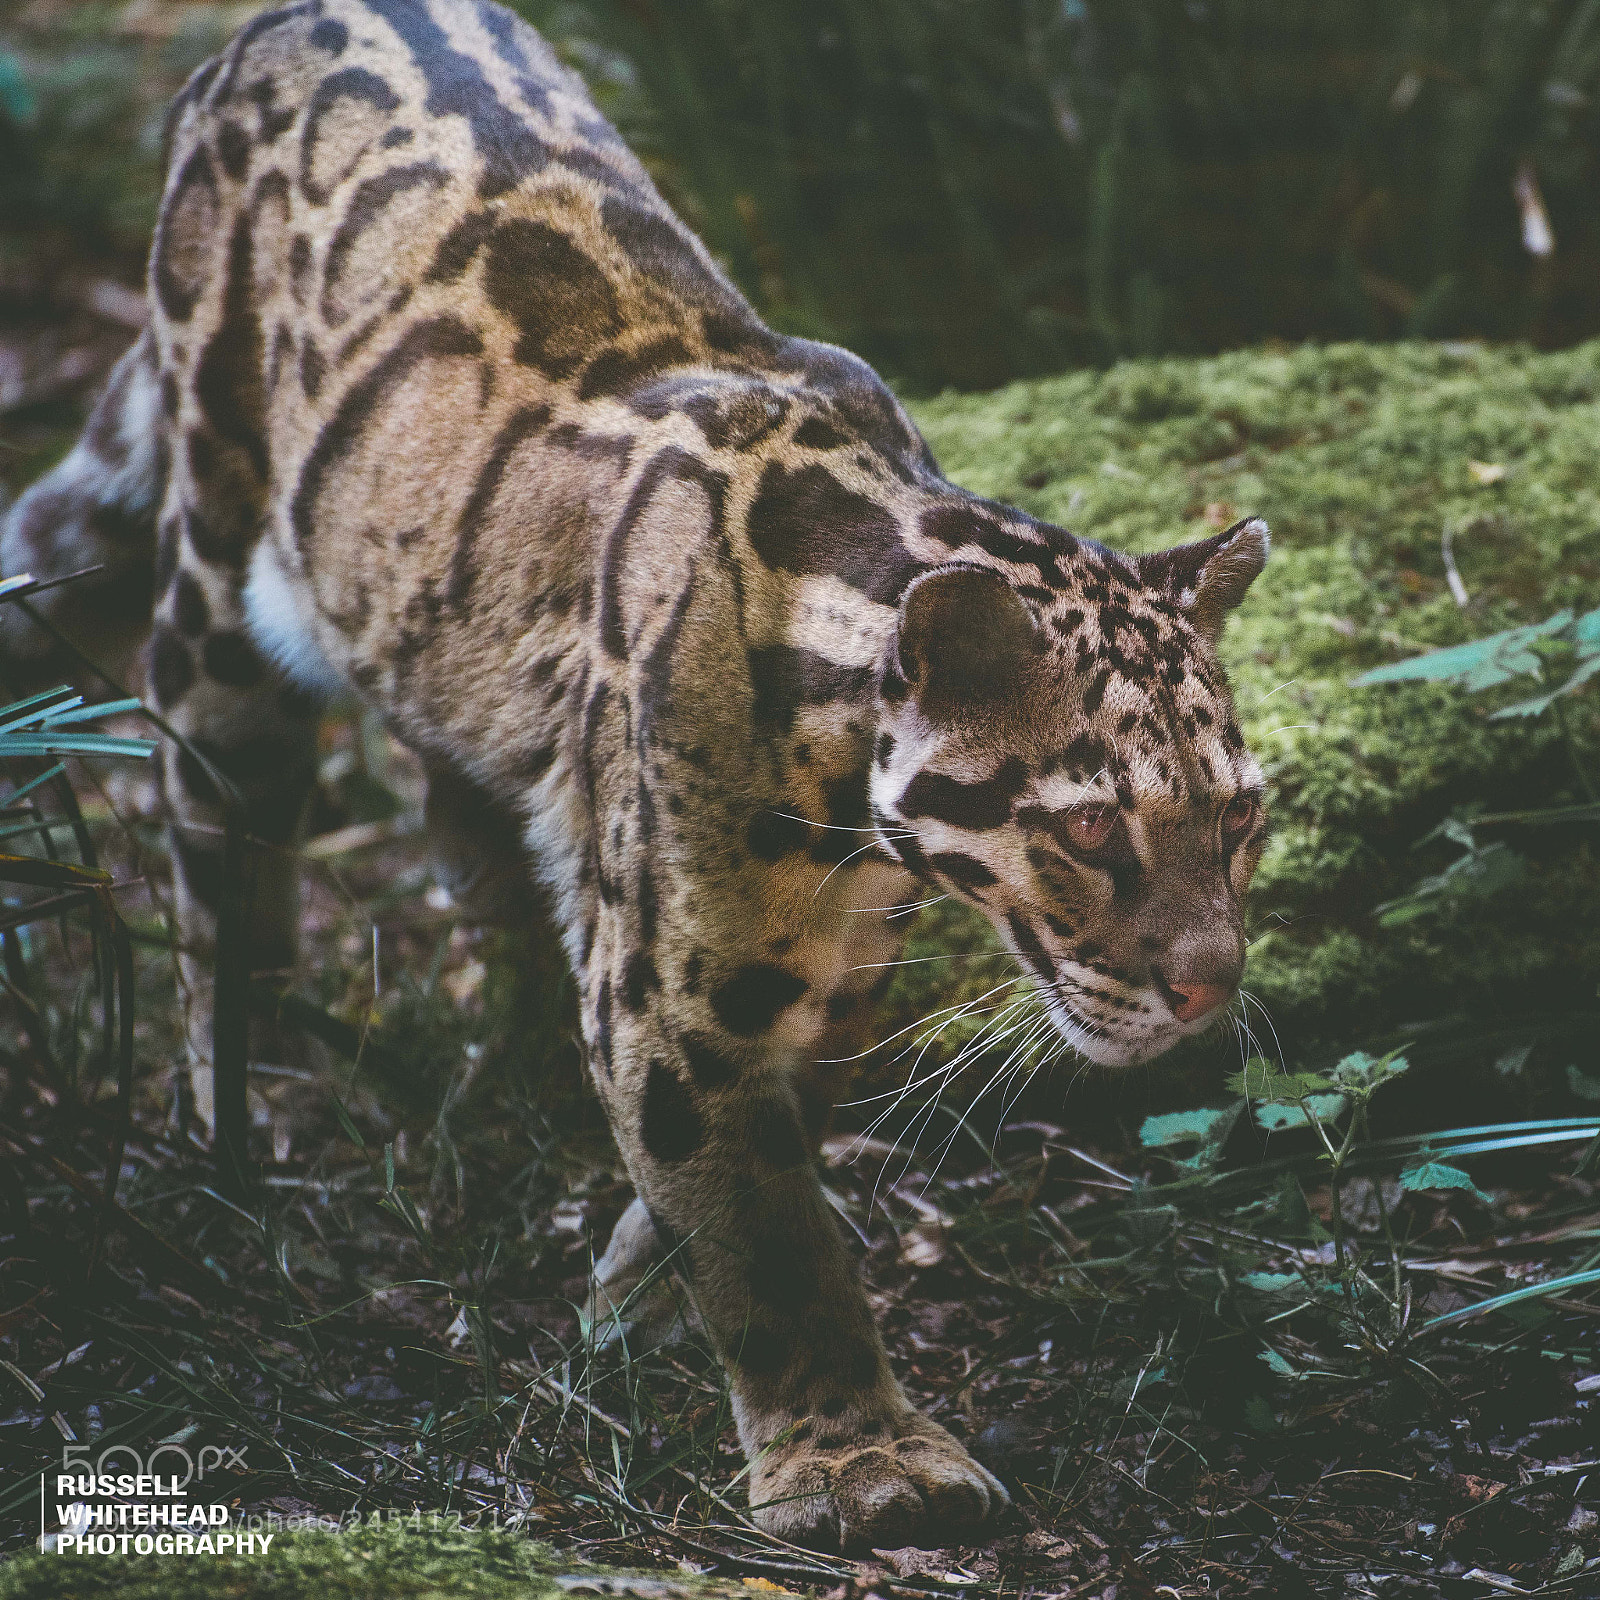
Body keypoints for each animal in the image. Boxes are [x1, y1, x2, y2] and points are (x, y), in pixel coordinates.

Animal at [0, 0, 1270, 1553]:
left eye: (1241, 813)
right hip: (221, 592)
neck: (846, 822)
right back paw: (236, 1103)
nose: (1213, 984)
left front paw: (635, 1294)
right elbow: (769, 1230)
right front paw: (854, 1460)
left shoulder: (831, 971)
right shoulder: (681, 987)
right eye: (1089, 828)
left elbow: (769, 1154)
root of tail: (264, 31)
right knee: (213, 836)